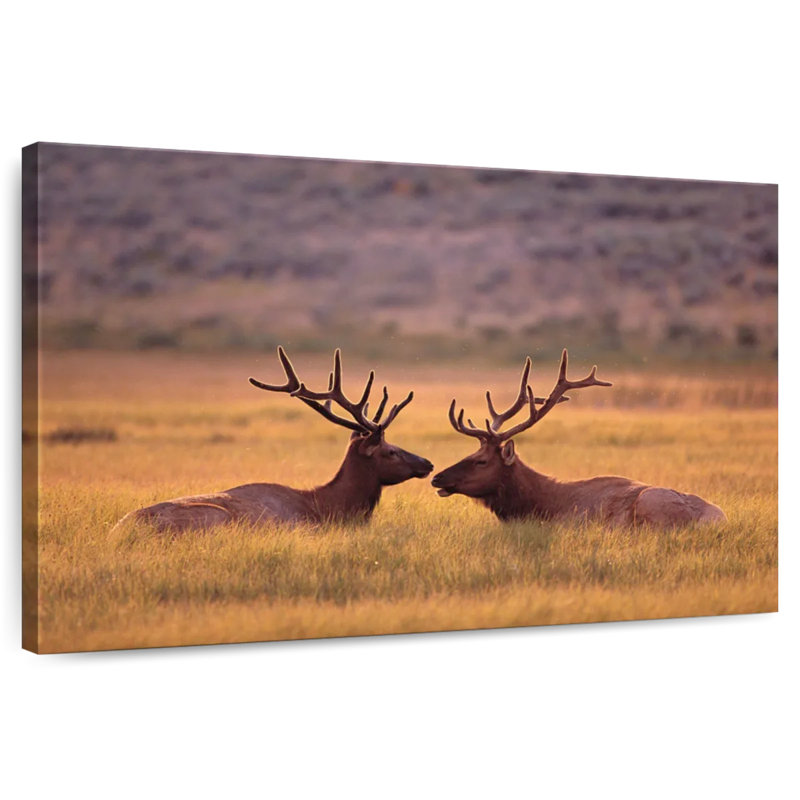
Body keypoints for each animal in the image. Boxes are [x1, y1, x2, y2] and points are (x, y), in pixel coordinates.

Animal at [431, 350, 726, 527]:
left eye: (480, 461)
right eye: (469, 454)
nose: (437, 477)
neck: (539, 505)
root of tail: (716, 520)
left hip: (651, 504)